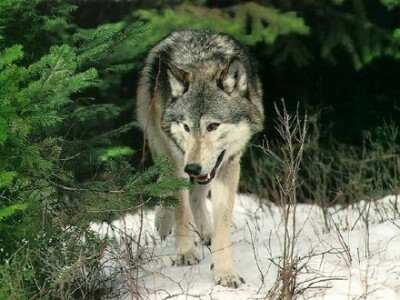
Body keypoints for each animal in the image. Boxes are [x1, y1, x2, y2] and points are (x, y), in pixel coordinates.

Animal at [136, 29, 264, 288]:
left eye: (213, 126)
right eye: (186, 126)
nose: (193, 169)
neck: (202, 64)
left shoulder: (227, 166)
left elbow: (222, 222)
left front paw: (225, 271)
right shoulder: (178, 162)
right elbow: (181, 208)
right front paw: (185, 252)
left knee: (197, 196)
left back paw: (206, 231)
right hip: (159, 143)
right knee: (167, 185)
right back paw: (164, 221)